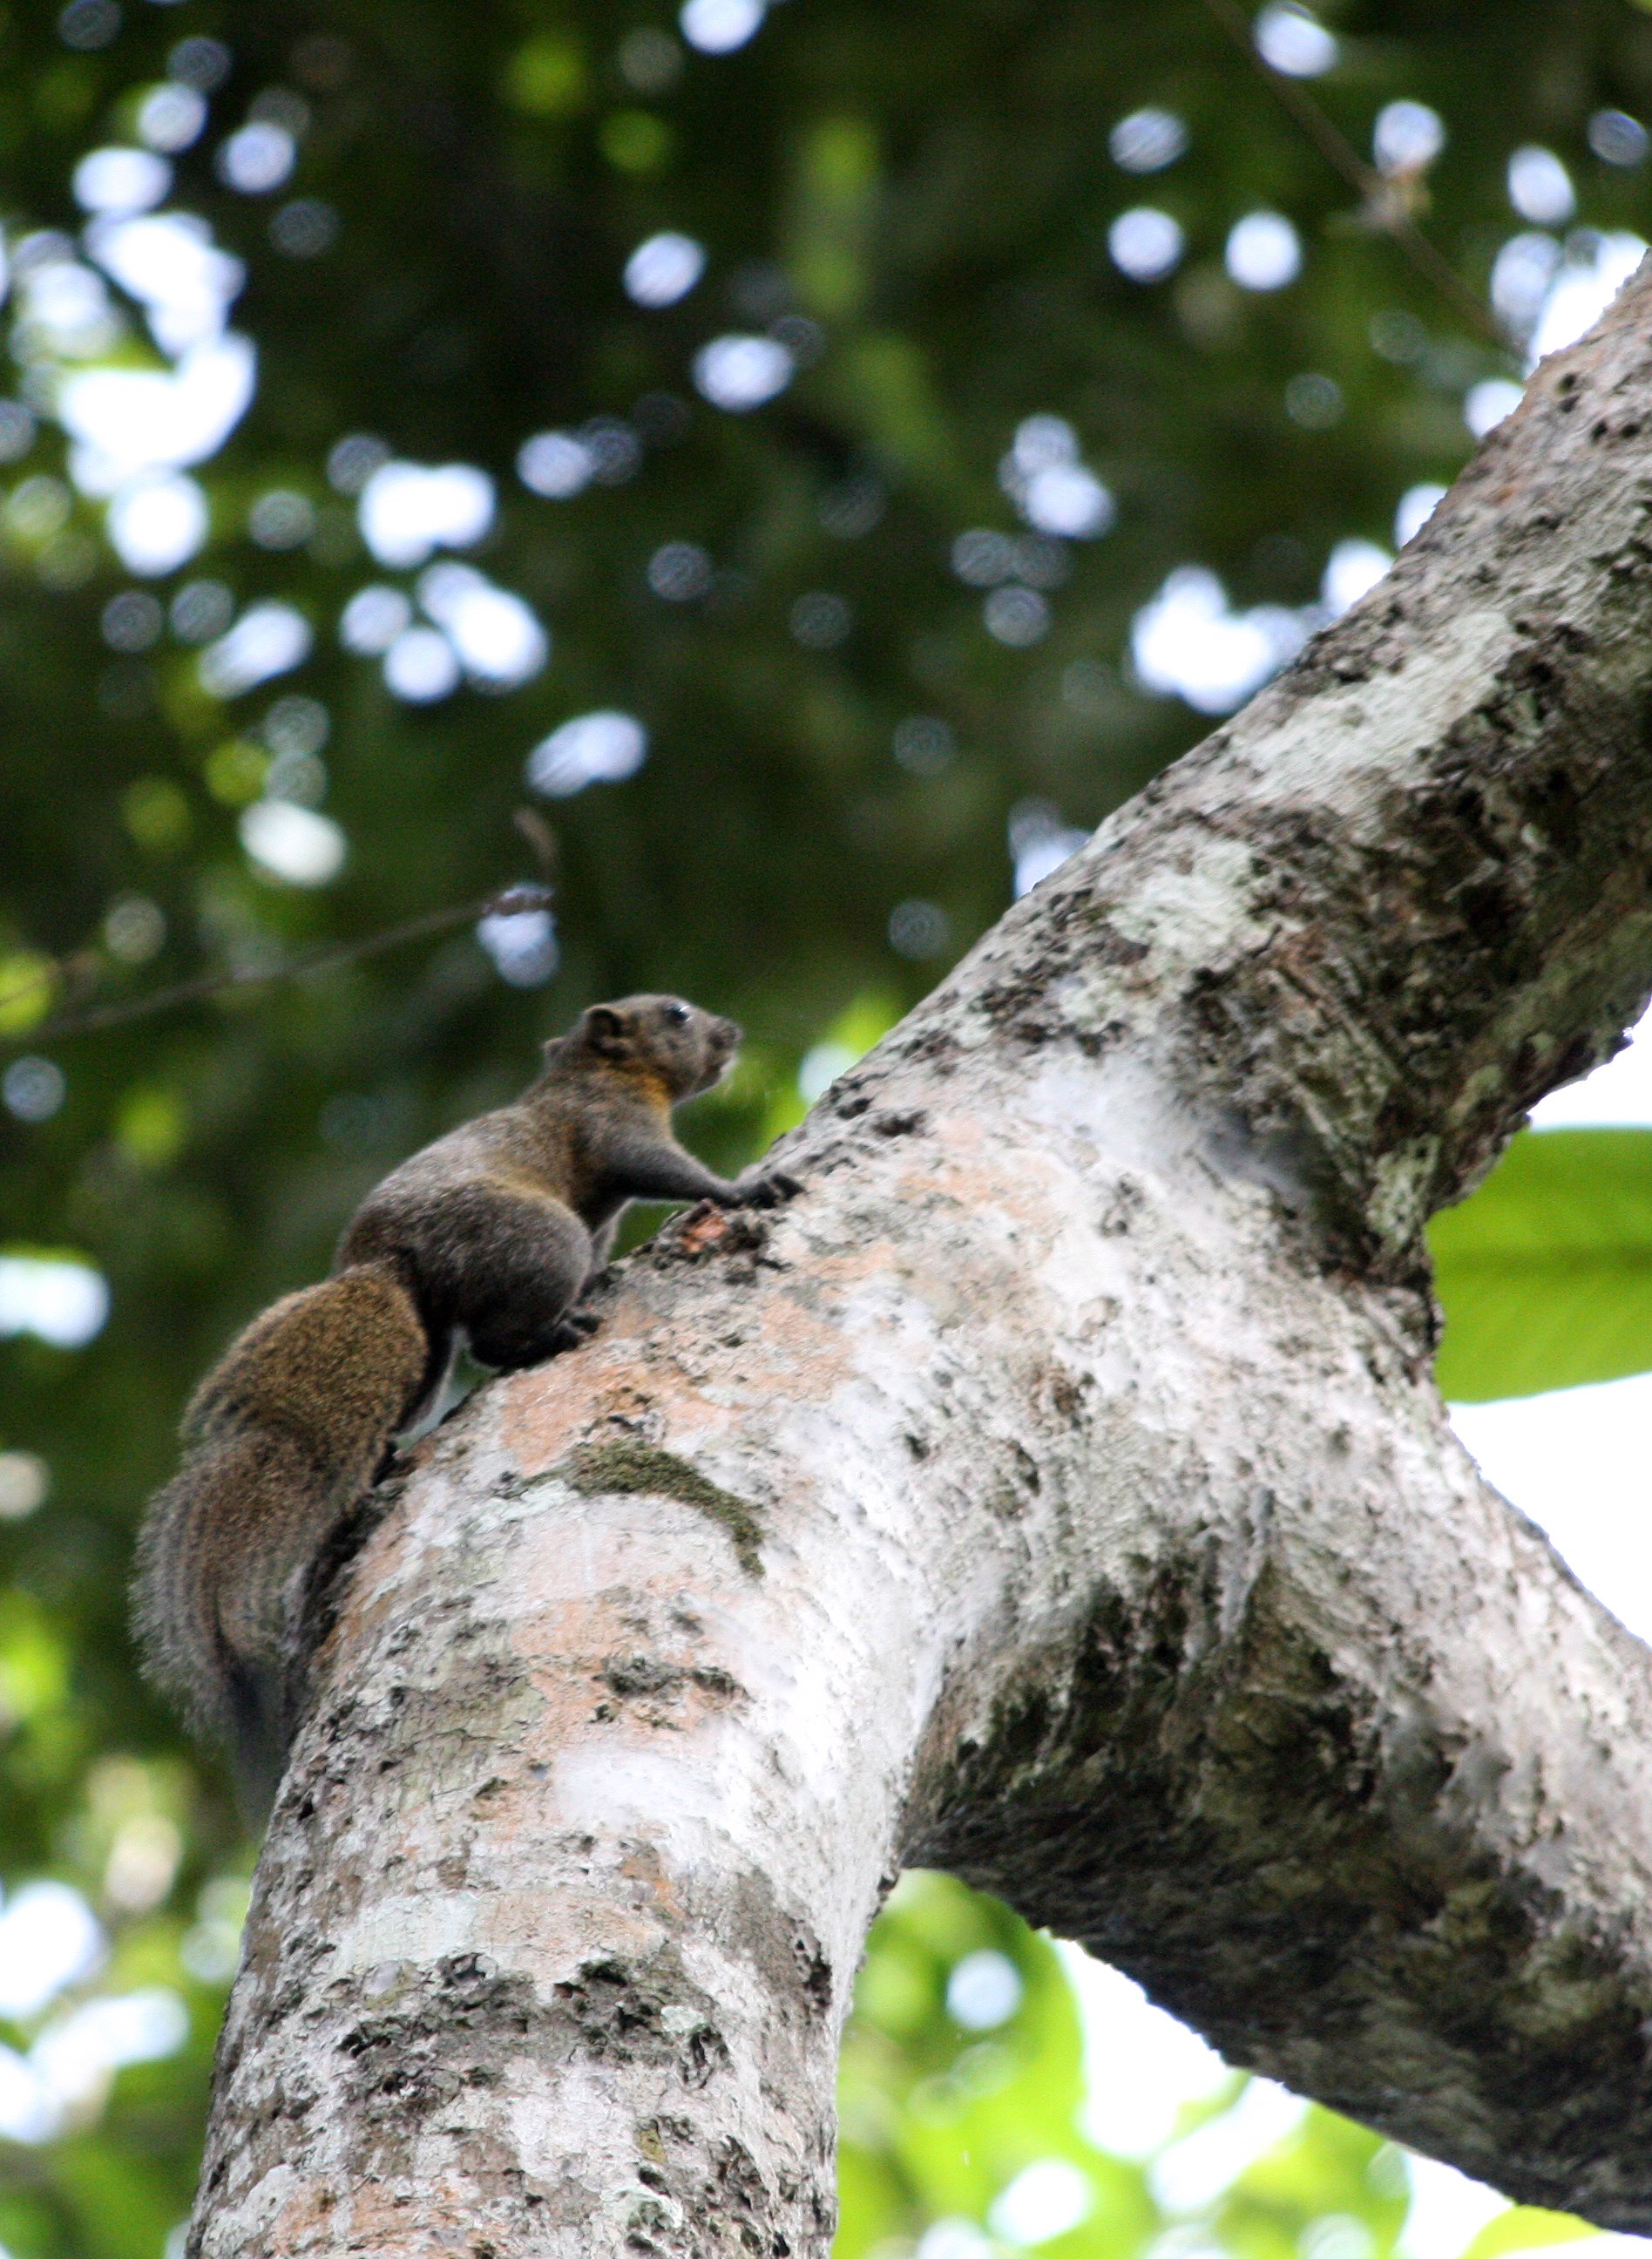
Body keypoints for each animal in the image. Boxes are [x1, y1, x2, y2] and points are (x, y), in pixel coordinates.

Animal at [132, 994, 801, 1819]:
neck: (598, 1073)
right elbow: (661, 1168)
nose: (731, 1034)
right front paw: (744, 1190)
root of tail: (386, 1261)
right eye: (675, 1013)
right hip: (539, 1240)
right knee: (495, 1338)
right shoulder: (611, 1126)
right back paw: (548, 1336)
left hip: (429, 1352)